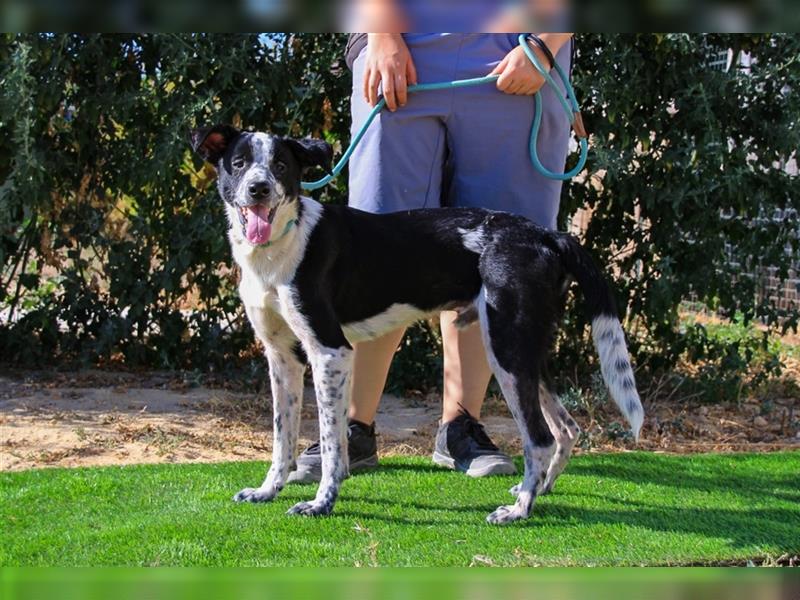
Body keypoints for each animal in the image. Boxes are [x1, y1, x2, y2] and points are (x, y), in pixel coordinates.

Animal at [189, 124, 644, 524]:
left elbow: (333, 444)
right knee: (567, 429)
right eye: (239, 163)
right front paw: (268, 491)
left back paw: (519, 511)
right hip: (525, 352)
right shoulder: (282, 358)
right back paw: (539, 491)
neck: (283, 242)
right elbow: (282, 439)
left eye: (281, 165)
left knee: (540, 438)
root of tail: (546, 235)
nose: (259, 189)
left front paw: (322, 503)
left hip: (507, 350)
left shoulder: (330, 352)